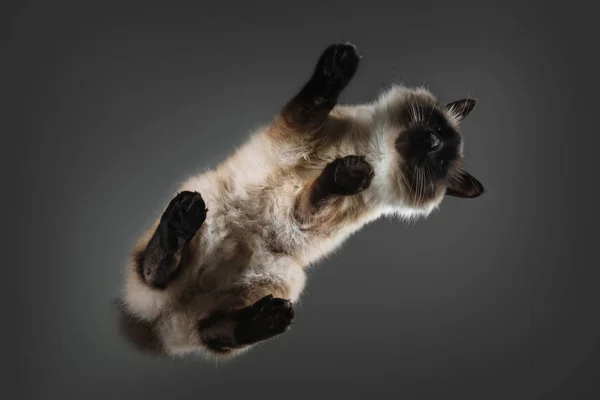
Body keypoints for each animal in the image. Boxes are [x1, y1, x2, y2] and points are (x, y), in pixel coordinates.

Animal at [117, 42, 482, 360]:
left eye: (438, 163)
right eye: (437, 130)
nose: (432, 141)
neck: (374, 151)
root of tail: (164, 327)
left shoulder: (307, 216)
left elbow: (316, 195)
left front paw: (350, 172)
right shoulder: (296, 133)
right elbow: (314, 101)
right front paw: (340, 64)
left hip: (287, 278)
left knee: (213, 332)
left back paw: (268, 318)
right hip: (208, 203)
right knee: (157, 271)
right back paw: (184, 218)